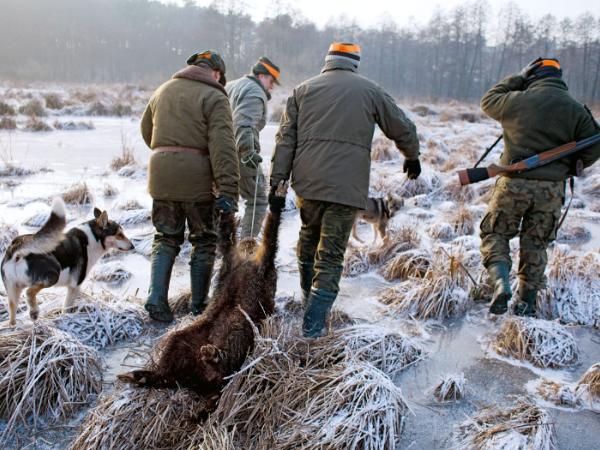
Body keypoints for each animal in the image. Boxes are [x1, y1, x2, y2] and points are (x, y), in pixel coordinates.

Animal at [0, 199, 135, 326]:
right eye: (119, 234)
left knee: (12, 315)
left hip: (13, 292)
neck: (92, 238)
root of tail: (17, 249)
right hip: (54, 273)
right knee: (29, 292)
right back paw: (34, 312)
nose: (133, 246)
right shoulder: (74, 286)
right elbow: (66, 309)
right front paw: (66, 319)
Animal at [119, 204, 284, 394]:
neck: (247, 259)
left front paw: (276, 201)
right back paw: (140, 375)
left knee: (227, 359)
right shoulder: (231, 262)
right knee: (172, 352)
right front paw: (226, 209)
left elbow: (270, 237)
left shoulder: (263, 270)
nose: (249, 240)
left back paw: (212, 357)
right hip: (188, 337)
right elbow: (226, 236)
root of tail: (193, 375)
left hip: (240, 329)